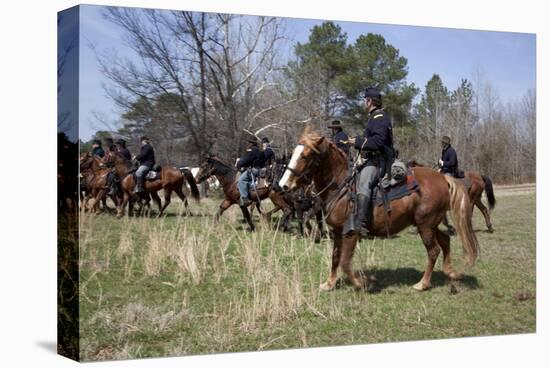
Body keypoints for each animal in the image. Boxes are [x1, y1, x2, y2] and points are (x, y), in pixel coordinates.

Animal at [278, 129, 480, 294]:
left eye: (306, 155)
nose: (283, 185)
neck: (340, 184)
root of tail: (442, 178)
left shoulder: (350, 232)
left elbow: (345, 262)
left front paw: (363, 283)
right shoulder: (337, 231)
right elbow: (335, 257)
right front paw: (329, 283)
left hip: (425, 226)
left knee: (433, 251)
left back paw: (422, 283)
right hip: (429, 224)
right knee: (445, 240)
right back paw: (450, 271)